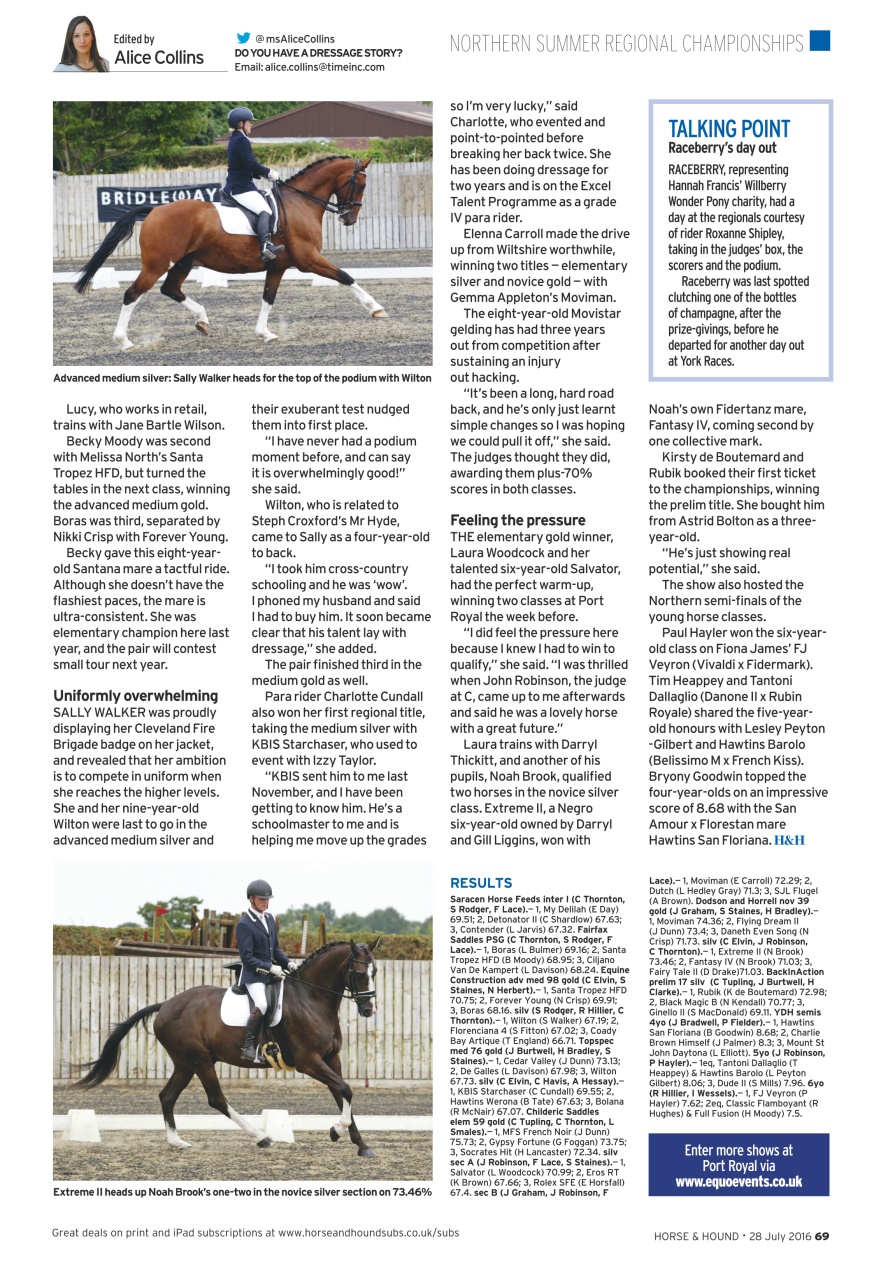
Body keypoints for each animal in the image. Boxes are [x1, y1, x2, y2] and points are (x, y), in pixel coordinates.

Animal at [74, 156, 388, 350]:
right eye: (360, 184)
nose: (349, 219)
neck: (300, 203)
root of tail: (155, 210)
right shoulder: (308, 260)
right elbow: (345, 277)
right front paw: (376, 308)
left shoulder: (278, 266)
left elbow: (268, 298)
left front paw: (265, 333)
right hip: (157, 263)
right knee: (133, 294)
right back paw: (124, 341)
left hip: (184, 262)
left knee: (170, 289)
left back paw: (202, 320)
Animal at [74, 939, 380, 1158]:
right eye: (359, 973)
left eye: (375, 971)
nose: (368, 1010)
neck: (311, 999)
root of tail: (166, 1005)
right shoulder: (308, 1061)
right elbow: (345, 1090)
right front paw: (336, 1130)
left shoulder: (331, 1058)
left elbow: (342, 1094)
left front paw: (361, 1145)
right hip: (200, 1062)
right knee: (216, 1099)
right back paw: (261, 1137)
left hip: (185, 1063)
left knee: (167, 1096)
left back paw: (177, 1142)